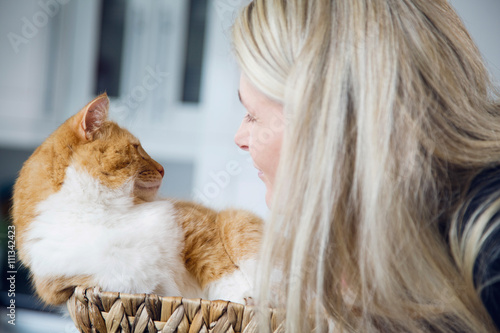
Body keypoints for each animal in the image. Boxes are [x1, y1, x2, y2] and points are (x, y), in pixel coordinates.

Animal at [11, 92, 262, 304]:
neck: (102, 211)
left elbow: (223, 273)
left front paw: (244, 301)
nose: (163, 169)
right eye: (136, 148)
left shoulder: (207, 228)